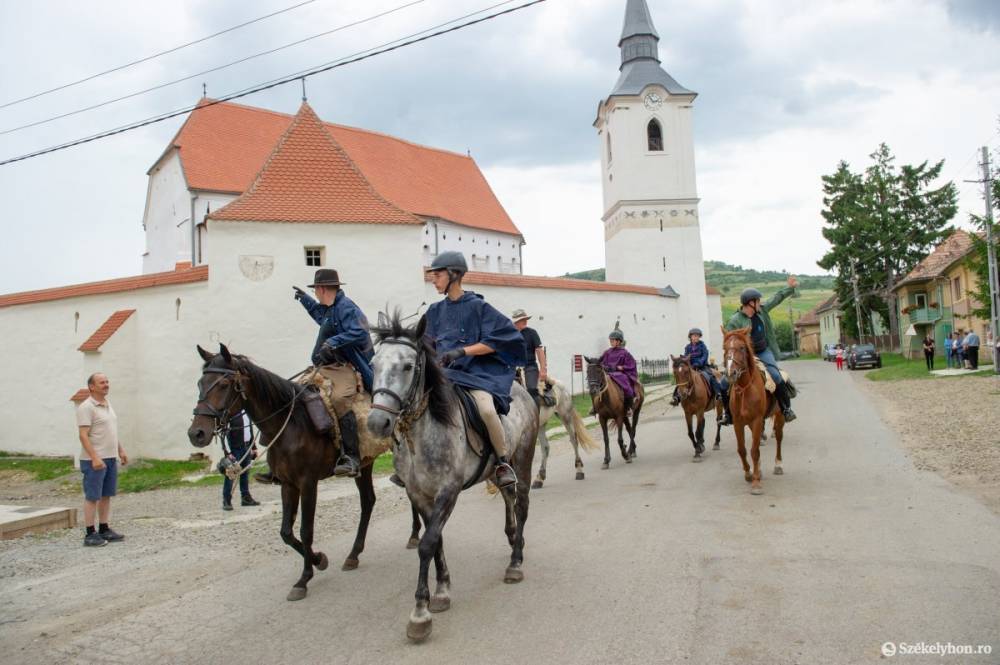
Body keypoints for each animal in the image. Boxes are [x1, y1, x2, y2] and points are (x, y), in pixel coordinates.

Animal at [188, 344, 410, 600]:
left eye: (224, 384)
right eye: (200, 383)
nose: (196, 433)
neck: (290, 423)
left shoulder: (308, 483)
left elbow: (306, 530)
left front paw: (304, 579)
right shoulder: (288, 484)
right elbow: (286, 532)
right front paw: (318, 560)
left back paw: (413, 536)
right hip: (365, 464)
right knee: (368, 501)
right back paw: (354, 554)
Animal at [368, 314, 540, 640]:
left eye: (408, 366)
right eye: (373, 364)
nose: (376, 422)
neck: (422, 435)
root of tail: (522, 390)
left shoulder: (448, 492)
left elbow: (427, 543)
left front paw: (420, 613)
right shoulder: (420, 495)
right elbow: (436, 541)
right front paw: (442, 590)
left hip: (524, 458)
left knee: (523, 505)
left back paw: (515, 562)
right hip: (499, 468)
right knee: (508, 496)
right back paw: (514, 539)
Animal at [724, 326, 784, 492]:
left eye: (742, 347)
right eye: (724, 348)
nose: (731, 373)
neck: (745, 388)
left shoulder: (757, 420)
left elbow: (754, 450)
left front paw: (756, 482)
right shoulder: (738, 423)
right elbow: (742, 449)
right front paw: (749, 474)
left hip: (779, 417)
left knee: (779, 438)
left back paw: (778, 465)